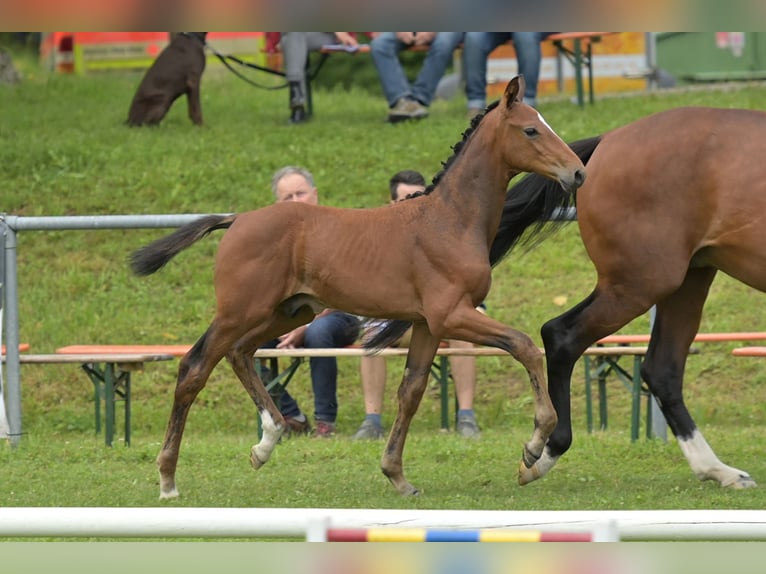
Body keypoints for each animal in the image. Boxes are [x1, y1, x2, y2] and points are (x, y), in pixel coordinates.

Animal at [132, 76, 588, 500]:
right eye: (531, 130)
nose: (578, 172)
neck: (451, 221)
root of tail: (237, 219)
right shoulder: (451, 314)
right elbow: (524, 345)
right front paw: (535, 445)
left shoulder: (428, 325)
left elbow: (411, 390)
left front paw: (397, 476)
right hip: (239, 311)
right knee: (195, 367)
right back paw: (168, 479)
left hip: (289, 312)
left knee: (240, 353)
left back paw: (266, 443)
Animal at [488, 106, 766, 488]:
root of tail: (608, 141)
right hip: (640, 283)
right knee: (562, 335)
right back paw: (544, 452)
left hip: (686, 280)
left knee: (661, 368)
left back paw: (717, 470)